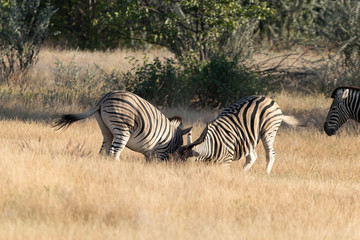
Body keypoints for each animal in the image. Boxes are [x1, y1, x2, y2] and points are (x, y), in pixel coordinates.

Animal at [52, 90, 193, 161]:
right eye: (182, 147)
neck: (173, 140)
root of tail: (104, 99)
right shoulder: (160, 151)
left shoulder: (151, 153)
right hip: (123, 128)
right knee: (114, 152)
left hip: (105, 128)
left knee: (104, 150)